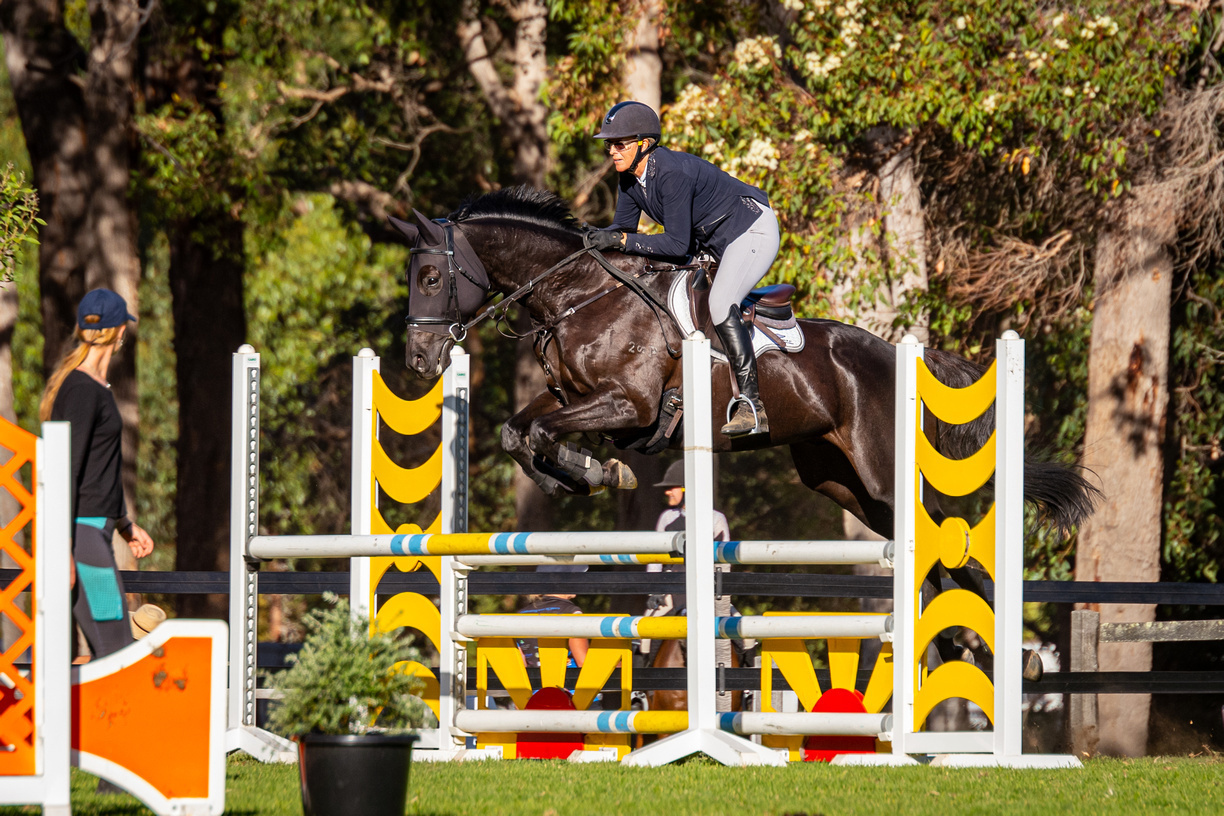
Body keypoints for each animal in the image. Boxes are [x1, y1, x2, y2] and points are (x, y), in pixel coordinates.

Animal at [391, 185, 1099, 546]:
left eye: (430, 277)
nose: (421, 360)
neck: (581, 296)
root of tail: (898, 356)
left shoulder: (629, 406)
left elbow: (541, 432)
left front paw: (594, 473)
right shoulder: (574, 399)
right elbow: (520, 431)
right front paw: (588, 474)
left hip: (885, 476)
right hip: (839, 479)